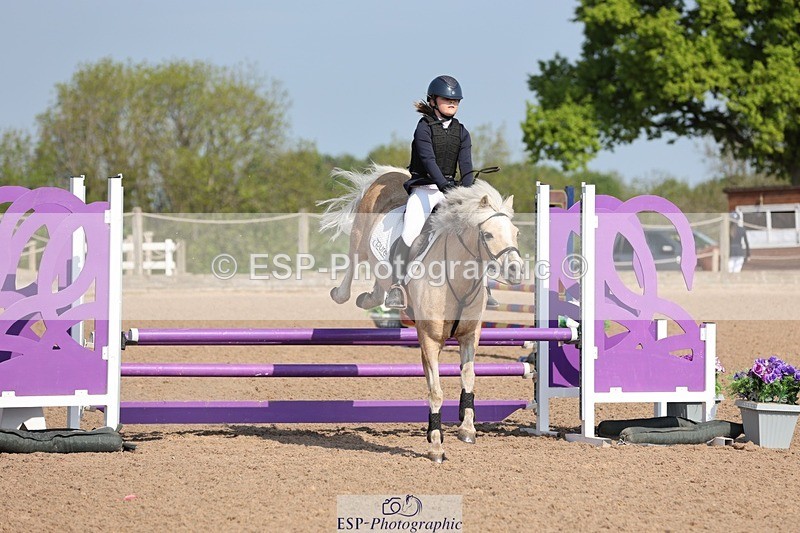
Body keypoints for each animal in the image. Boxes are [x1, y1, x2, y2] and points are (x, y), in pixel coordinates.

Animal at [319, 164, 524, 462]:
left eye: (516, 232)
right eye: (487, 235)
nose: (516, 271)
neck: (457, 281)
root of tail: (391, 175)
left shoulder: (469, 337)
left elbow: (469, 378)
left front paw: (467, 429)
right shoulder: (429, 339)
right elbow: (435, 391)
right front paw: (436, 446)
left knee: (380, 285)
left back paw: (371, 297)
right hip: (359, 234)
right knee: (353, 259)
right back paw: (343, 293)